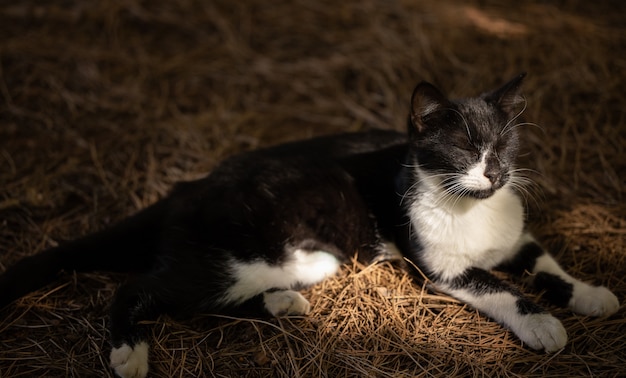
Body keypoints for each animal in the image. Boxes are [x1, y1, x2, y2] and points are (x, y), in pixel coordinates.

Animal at [0, 71, 616, 378]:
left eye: (505, 146)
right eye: (465, 148)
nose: (497, 172)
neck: (474, 208)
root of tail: (187, 187)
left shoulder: (518, 234)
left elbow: (545, 262)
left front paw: (589, 294)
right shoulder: (441, 268)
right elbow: (498, 286)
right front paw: (543, 324)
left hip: (310, 257)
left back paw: (283, 303)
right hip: (246, 254)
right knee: (142, 287)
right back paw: (129, 353)